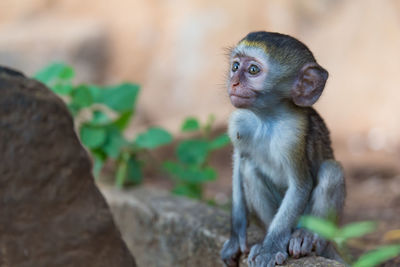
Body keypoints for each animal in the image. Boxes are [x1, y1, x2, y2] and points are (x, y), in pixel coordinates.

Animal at [220, 31, 346, 267]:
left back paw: (306, 237)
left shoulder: (292, 134)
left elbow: (300, 186)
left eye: (253, 70)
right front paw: (236, 237)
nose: (233, 83)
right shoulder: (238, 124)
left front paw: (270, 249)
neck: (266, 119)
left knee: (332, 170)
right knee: (249, 169)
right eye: (235, 66)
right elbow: (239, 163)